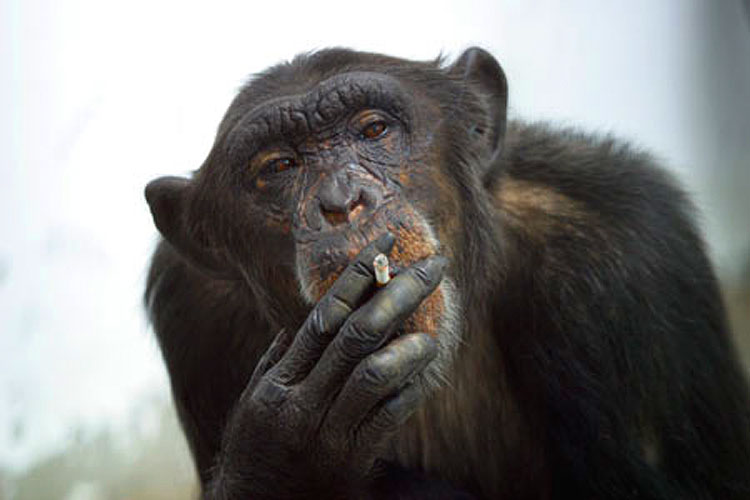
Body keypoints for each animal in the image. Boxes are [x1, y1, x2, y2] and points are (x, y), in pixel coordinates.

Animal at [144, 47, 750, 499]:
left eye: (373, 130)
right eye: (280, 167)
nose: (342, 201)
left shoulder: (623, 260)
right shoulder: (191, 308)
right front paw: (290, 443)